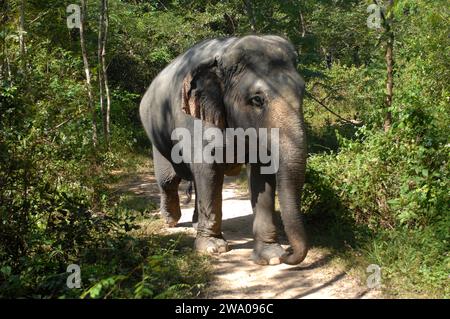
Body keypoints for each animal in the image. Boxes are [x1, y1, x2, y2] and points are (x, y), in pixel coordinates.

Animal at [140, 35, 310, 266]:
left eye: (303, 92)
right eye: (257, 99)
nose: (288, 254)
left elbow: (262, 174)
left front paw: (271, 256)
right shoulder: (194, 119)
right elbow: (208, 170)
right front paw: (212, 248)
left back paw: (195, 224)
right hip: (157, 136)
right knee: (168, 180)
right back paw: (170, 221)